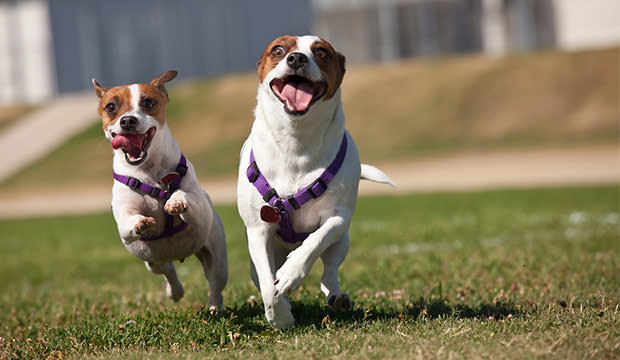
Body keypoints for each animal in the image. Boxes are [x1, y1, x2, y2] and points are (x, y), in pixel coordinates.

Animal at [92, 71, 228, 312]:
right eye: (111, 107)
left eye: (148, 102)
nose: (127, 120)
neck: (150, 175)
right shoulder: (124, 223)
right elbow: (129, 221)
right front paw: (141, 222)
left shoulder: (200, 210)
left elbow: (186, 196)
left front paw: (176, 201)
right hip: (152, 261)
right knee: (168, 270)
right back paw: (175, 291)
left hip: (217, 260)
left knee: (215, 286)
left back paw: (215, 308)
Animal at [237, 36, 392, 330]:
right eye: (278, 50)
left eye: (321, 52)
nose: (296, 58)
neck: (296, 141)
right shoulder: (258, 230)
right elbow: (268, 286)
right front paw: (280, 316)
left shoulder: (339, 218)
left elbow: (315, 241)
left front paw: (291, 273)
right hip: (255, 258)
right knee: (262, 276)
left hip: (342, 243)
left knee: (329, 271)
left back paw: (336, 296)